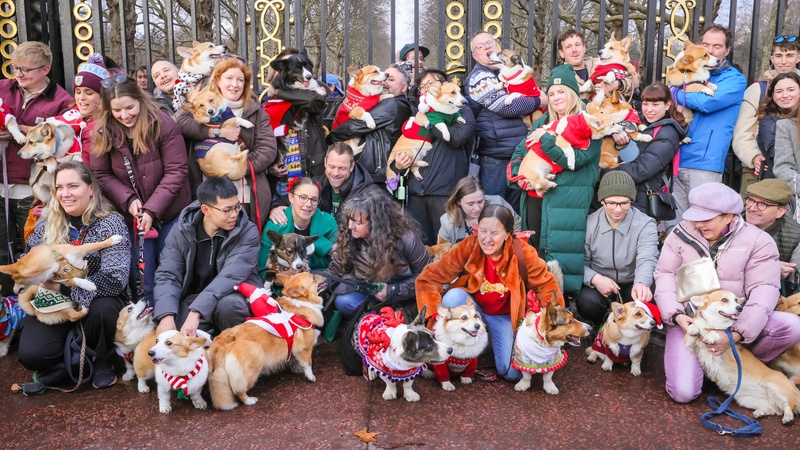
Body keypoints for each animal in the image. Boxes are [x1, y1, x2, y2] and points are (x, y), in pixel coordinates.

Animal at [207, 273, 325, 410]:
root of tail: (224, 339)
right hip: (253, 364)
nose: (326, 276)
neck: (302, 304)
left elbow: (296, 361)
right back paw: (250, 400)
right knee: (240, 390)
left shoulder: (294, 349)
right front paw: (310, 377)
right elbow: (308, 364)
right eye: (313, 278)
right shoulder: (306, 348)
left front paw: (297, 369)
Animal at [685, 290, 800, 424]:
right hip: (748, 400)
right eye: (724, 300)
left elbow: (718, 332)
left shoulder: (727, 348)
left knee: (789, 406)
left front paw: (711, 336)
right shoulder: (689, 343)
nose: (740, 308)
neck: (710, 324)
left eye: (736, 300)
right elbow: (692, 330)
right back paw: (760, 412)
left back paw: (788, 417)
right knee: (774, 409)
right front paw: (693, 329)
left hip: (777, 388)